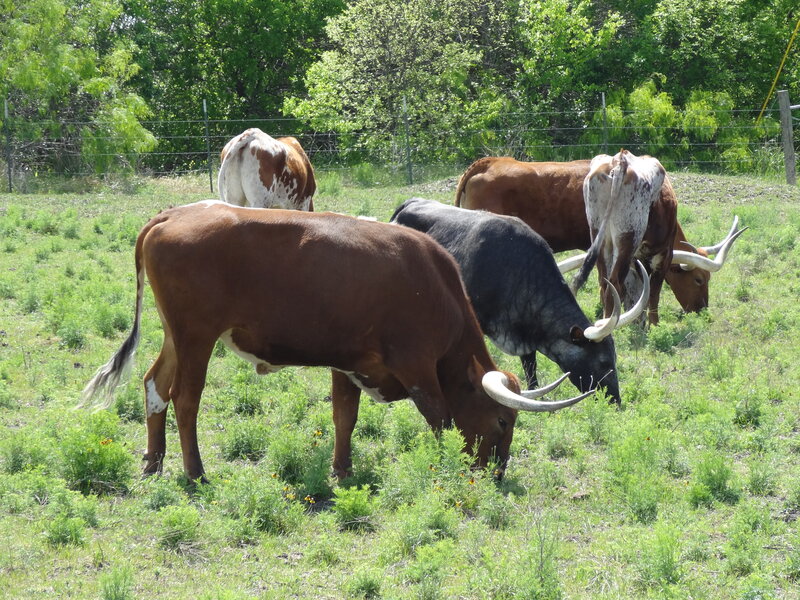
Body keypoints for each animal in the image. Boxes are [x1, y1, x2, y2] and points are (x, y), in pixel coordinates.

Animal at [81, 201, 593, 483]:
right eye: (504, 422)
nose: (498, 474)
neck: (432, 285)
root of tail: (173, 214)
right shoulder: (417, 368)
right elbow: (440, 421)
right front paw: (442, 468)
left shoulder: (349, 362)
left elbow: (345, 417)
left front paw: (342, 470)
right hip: (195, 337)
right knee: (185, 399)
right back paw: (195, 472)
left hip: (175, 335)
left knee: (154, 385)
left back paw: (153, 461)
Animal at [390, 198, 651, 404]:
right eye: (603, 361)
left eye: (614, 358)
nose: (616, 400)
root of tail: (409, 203)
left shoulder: (527, 339)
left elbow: (530, 369)